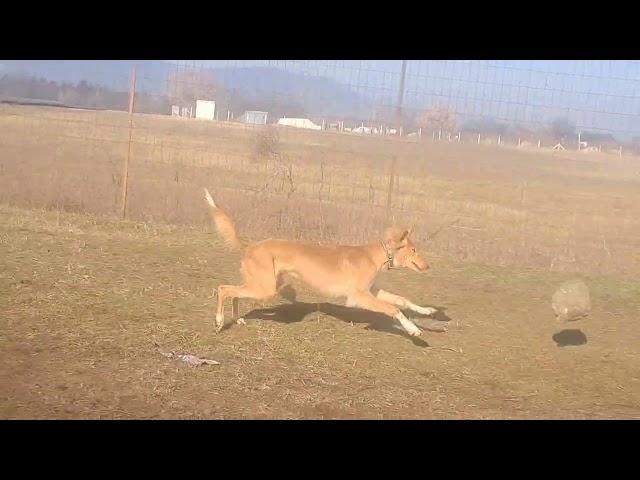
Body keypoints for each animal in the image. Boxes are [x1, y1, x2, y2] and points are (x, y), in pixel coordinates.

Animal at [202, 188, 438, 338]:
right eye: (414, 250)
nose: (428, 266)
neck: (376, 255)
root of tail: (251, 245)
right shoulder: (358, 297)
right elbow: (393, 308)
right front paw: (413, 330)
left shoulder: (372, 291)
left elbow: (402, 300)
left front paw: (426, 311)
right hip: (265, 288)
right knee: (224, 289)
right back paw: (219, 321)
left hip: (265, 284)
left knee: (234, 293)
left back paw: (237, 319)